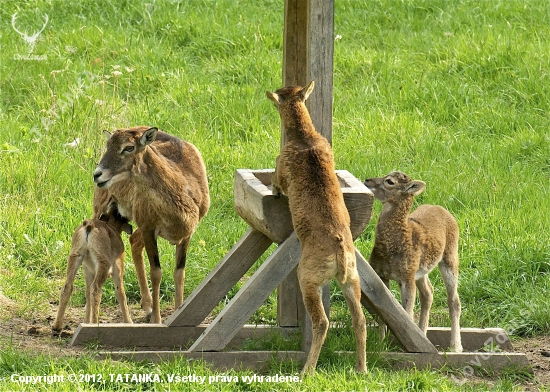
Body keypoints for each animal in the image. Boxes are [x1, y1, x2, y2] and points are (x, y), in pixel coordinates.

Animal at [94, 127, 210, 324]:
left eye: (129, 147)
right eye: (108, 145)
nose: (97, 174)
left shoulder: (186, 234)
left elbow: (179, 272)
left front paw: (177, 312)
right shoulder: (149, 229)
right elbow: (156, 272)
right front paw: (157, 320)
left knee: (133, 241)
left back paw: (147, 306)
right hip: (100, 207)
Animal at [266, 81, 368, 376]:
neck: (305, 138)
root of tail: (340, 255)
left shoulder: (281, 169)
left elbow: (277, 180)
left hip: (309, 279)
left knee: (321, 322)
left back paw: (307, 371)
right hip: (352, 280)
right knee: (359, 319)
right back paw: (361, 368)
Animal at [366, 172, 466, 352]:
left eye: (390, 181)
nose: (367, 180)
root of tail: (443, 209)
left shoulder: (407, 277)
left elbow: (406, 311)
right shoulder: (382, 274)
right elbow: (383, 309)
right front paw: (380, 343)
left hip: (450, 256)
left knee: (453, 300)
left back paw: (455, 346)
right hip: (421, 271)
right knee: (428, 293)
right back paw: (423, 333)